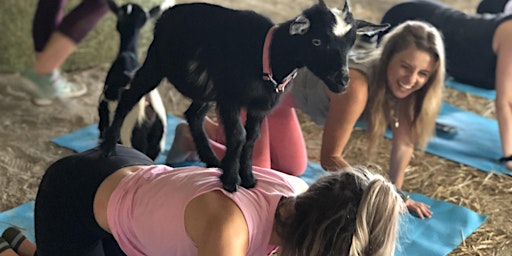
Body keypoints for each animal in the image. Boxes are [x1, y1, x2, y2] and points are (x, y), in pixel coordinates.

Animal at [101, 0, 388, 192]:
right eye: (317, 41)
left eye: (350, 44)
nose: (342, 82)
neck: (268, 54)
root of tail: (168, 14)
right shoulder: (230, 99)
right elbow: (238, 136)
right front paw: (231, 180)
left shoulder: (257, 107)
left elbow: (252, 139)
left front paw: (247, 177)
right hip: (156, 63)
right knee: (129, 97)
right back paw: (108, 147)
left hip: (209, 90)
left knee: (193, 115)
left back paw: (211, 159)